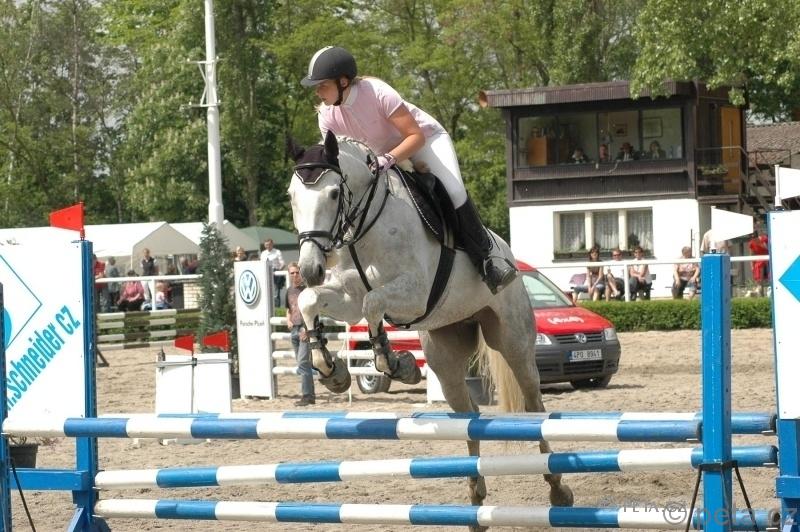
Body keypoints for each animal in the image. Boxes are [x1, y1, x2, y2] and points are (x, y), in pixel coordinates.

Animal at [287, 131, 573, 520]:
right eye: (292, 196)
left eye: (333, 194)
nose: (311, 269)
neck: (364, 227)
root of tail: (509, 254)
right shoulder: (346, 295)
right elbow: (310, 301)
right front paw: (332, 371)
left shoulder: (415, 292)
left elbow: (373, 302)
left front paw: (392, 363)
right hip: (445, 354)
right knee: (468, 414)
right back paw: (475, 493)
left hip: (513, 341)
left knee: (534, 407)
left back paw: (558, 489)